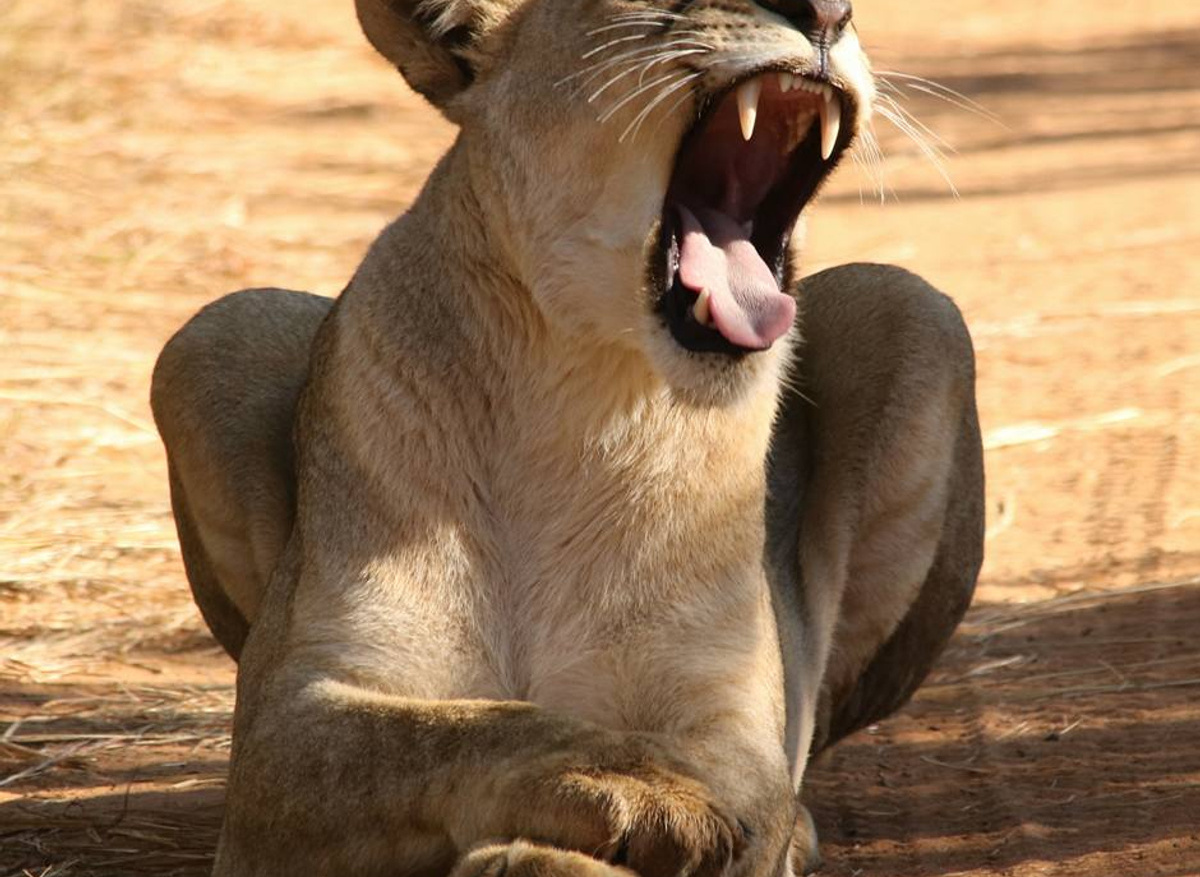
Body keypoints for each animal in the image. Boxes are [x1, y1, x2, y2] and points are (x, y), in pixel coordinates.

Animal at [150, 0, 984, 874]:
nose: (830, 13)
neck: (574, 400)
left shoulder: (737, 733)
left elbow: (732, 789)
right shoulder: (284, 724)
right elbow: (462, 730)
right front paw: (630, 797)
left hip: (914, 308)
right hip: (217, 331)